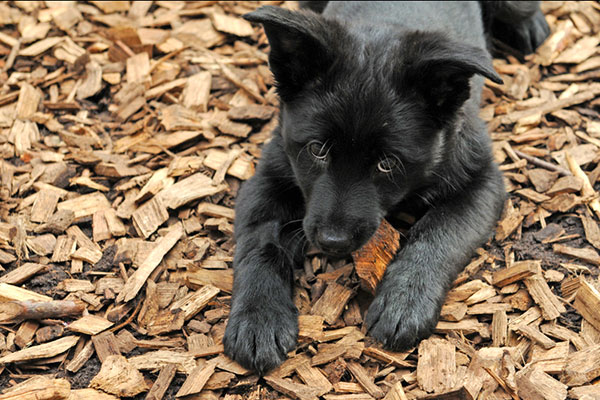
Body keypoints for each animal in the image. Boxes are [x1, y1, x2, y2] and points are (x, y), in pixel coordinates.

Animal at [224, 1, 548, 374]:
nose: (333, 242)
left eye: (387, 163)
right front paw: (258, 317)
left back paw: (531, 29)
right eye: (318, 149)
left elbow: (438, 233)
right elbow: (259, 245)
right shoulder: (265, 181)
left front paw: (404, 300)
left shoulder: (481, 182)